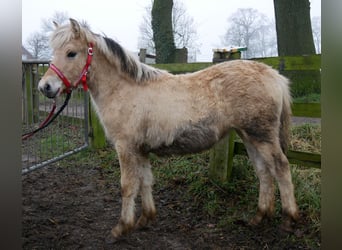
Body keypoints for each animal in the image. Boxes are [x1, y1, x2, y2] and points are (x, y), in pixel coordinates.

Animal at [38, 18, 298, 241]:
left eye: (71, 53)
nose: (45, 87)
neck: (125, 89)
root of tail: (273, 75)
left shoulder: (125, 147)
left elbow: (127, 185)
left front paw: (122, 227)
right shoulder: (140, 149)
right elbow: (145, 181)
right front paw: (145, 218)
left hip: (261, 136)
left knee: (281, 168)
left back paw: (288, 220)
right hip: (250, 136)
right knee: (264, 171)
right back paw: (259, 216)